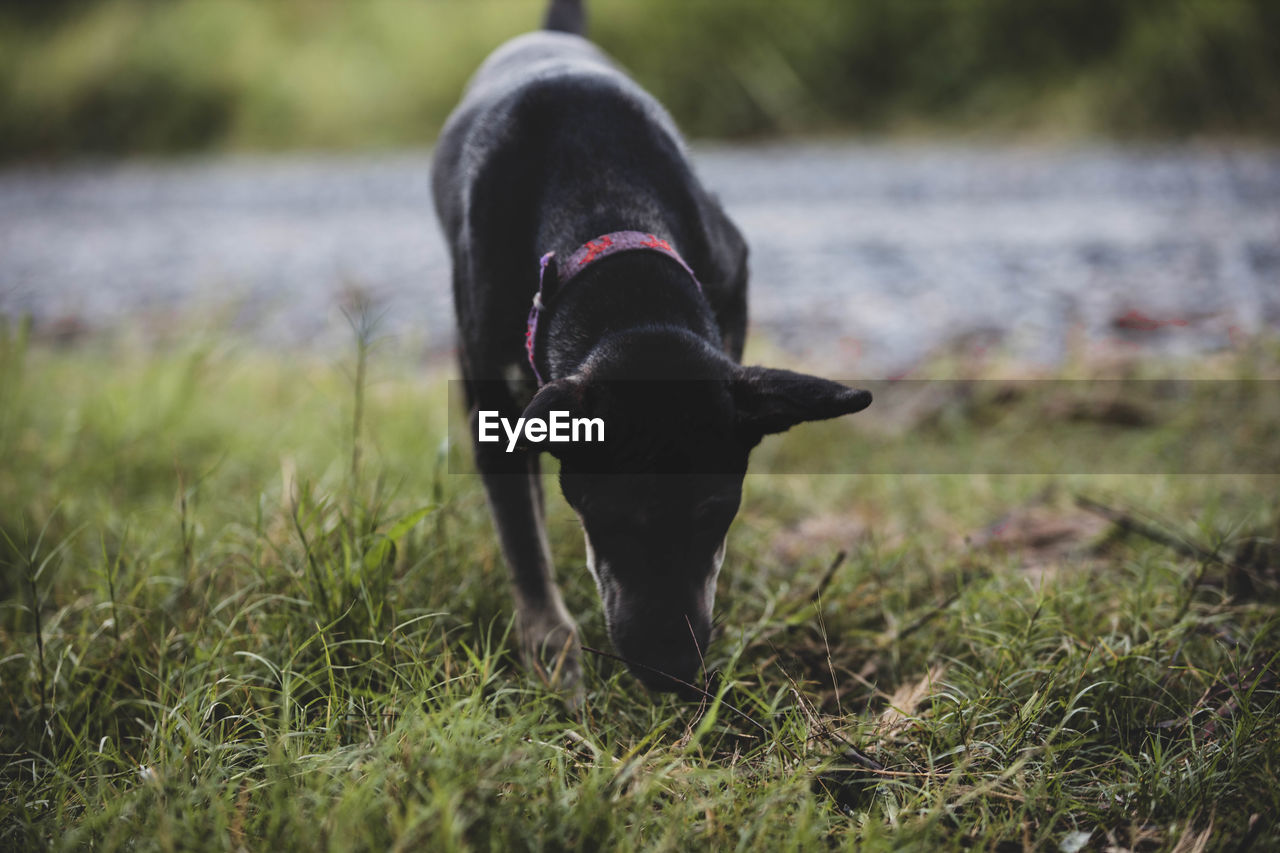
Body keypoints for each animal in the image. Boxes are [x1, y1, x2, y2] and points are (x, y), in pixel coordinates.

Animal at [432, 0, 870, 691]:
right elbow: (522, 536)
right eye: (608, 518)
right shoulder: (489, 389)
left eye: (717, 513)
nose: (672, 676)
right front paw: (552, 649)